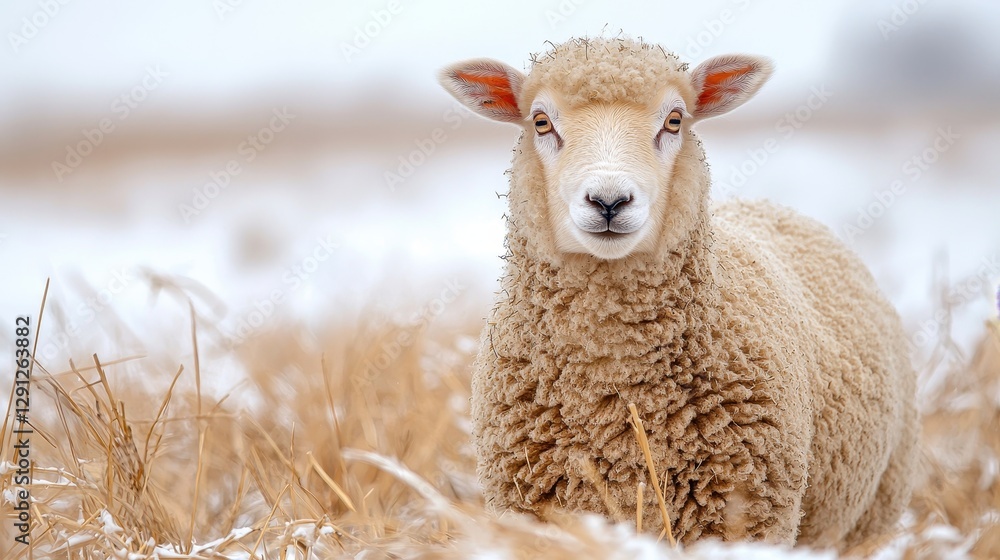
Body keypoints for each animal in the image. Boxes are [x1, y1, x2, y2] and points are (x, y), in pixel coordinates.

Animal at [437, 37, 917, 550]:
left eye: (673, 121)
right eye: (541, 122)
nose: (609, 201)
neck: (614, 383)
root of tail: (775, 207)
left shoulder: (746, 515)